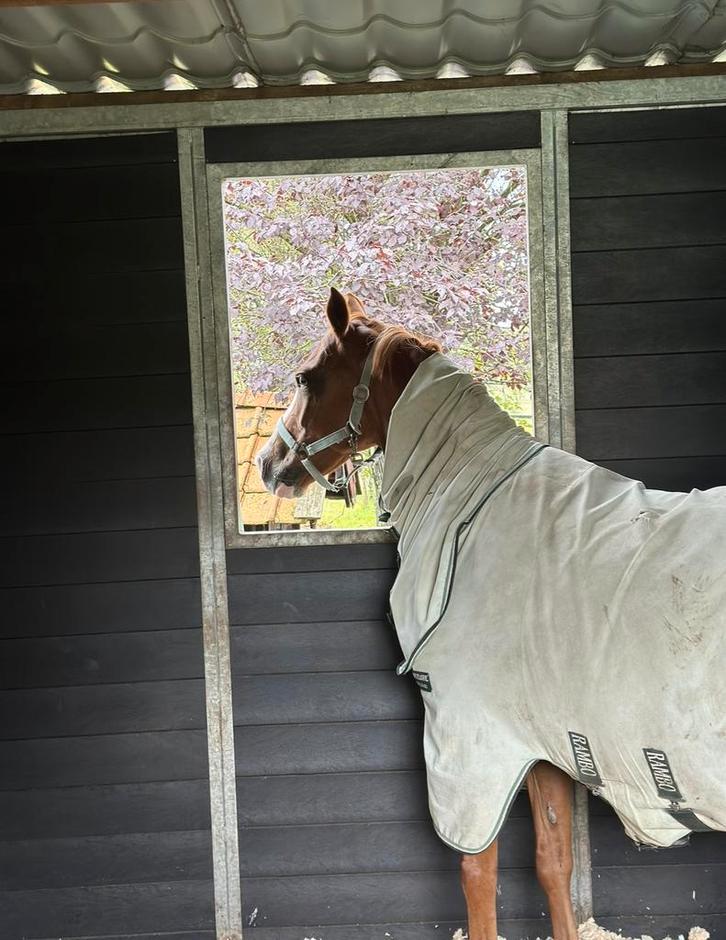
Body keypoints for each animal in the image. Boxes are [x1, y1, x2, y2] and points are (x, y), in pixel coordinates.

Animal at [256, 287, 726, 940]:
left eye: (307, 377)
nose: (269, 464)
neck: (471, 506)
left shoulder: (471, 742)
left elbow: (477, 875)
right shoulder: (541, 740)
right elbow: (554, 863)